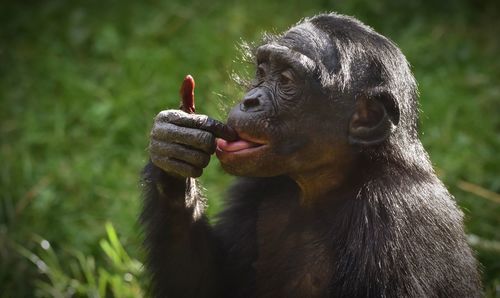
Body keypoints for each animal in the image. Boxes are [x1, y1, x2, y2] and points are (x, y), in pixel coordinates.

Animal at [139, 12, 482, 298]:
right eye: (262, 71)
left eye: (286, 80)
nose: (250, 100)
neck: (324, 186)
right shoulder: (253, 187)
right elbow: (211, 286)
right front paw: (174, 151)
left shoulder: (394, 218)